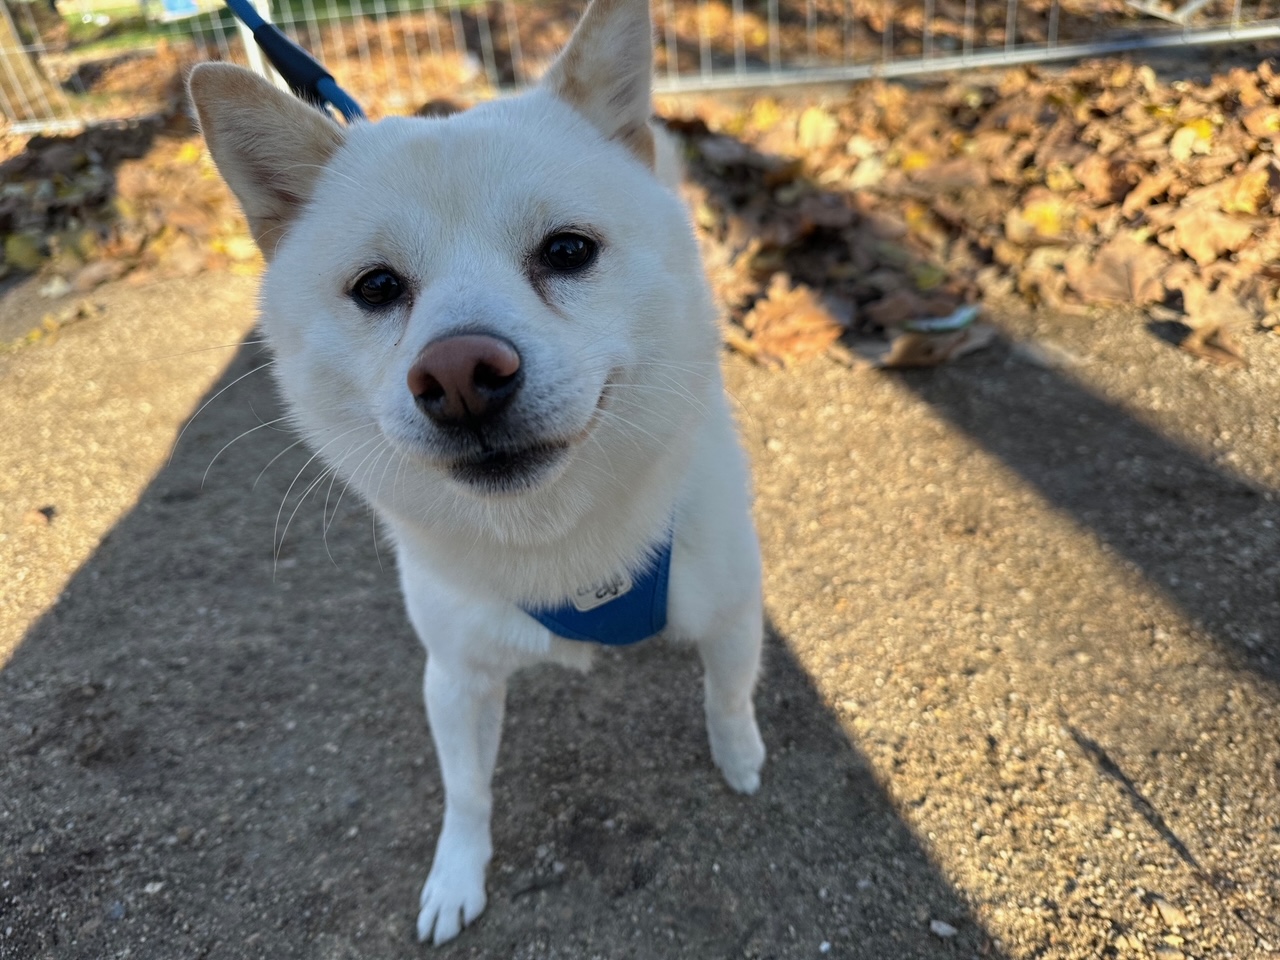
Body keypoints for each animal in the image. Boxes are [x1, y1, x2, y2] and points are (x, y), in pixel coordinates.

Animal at [186, 0, 762, 947]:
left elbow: (728, 692)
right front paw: (455, 878)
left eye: (567, 250)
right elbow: (465, 794)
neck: (558, 548)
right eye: (377, 287)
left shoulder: (730, 612)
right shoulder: (454, 677)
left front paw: (740, 755)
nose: (458, 376)